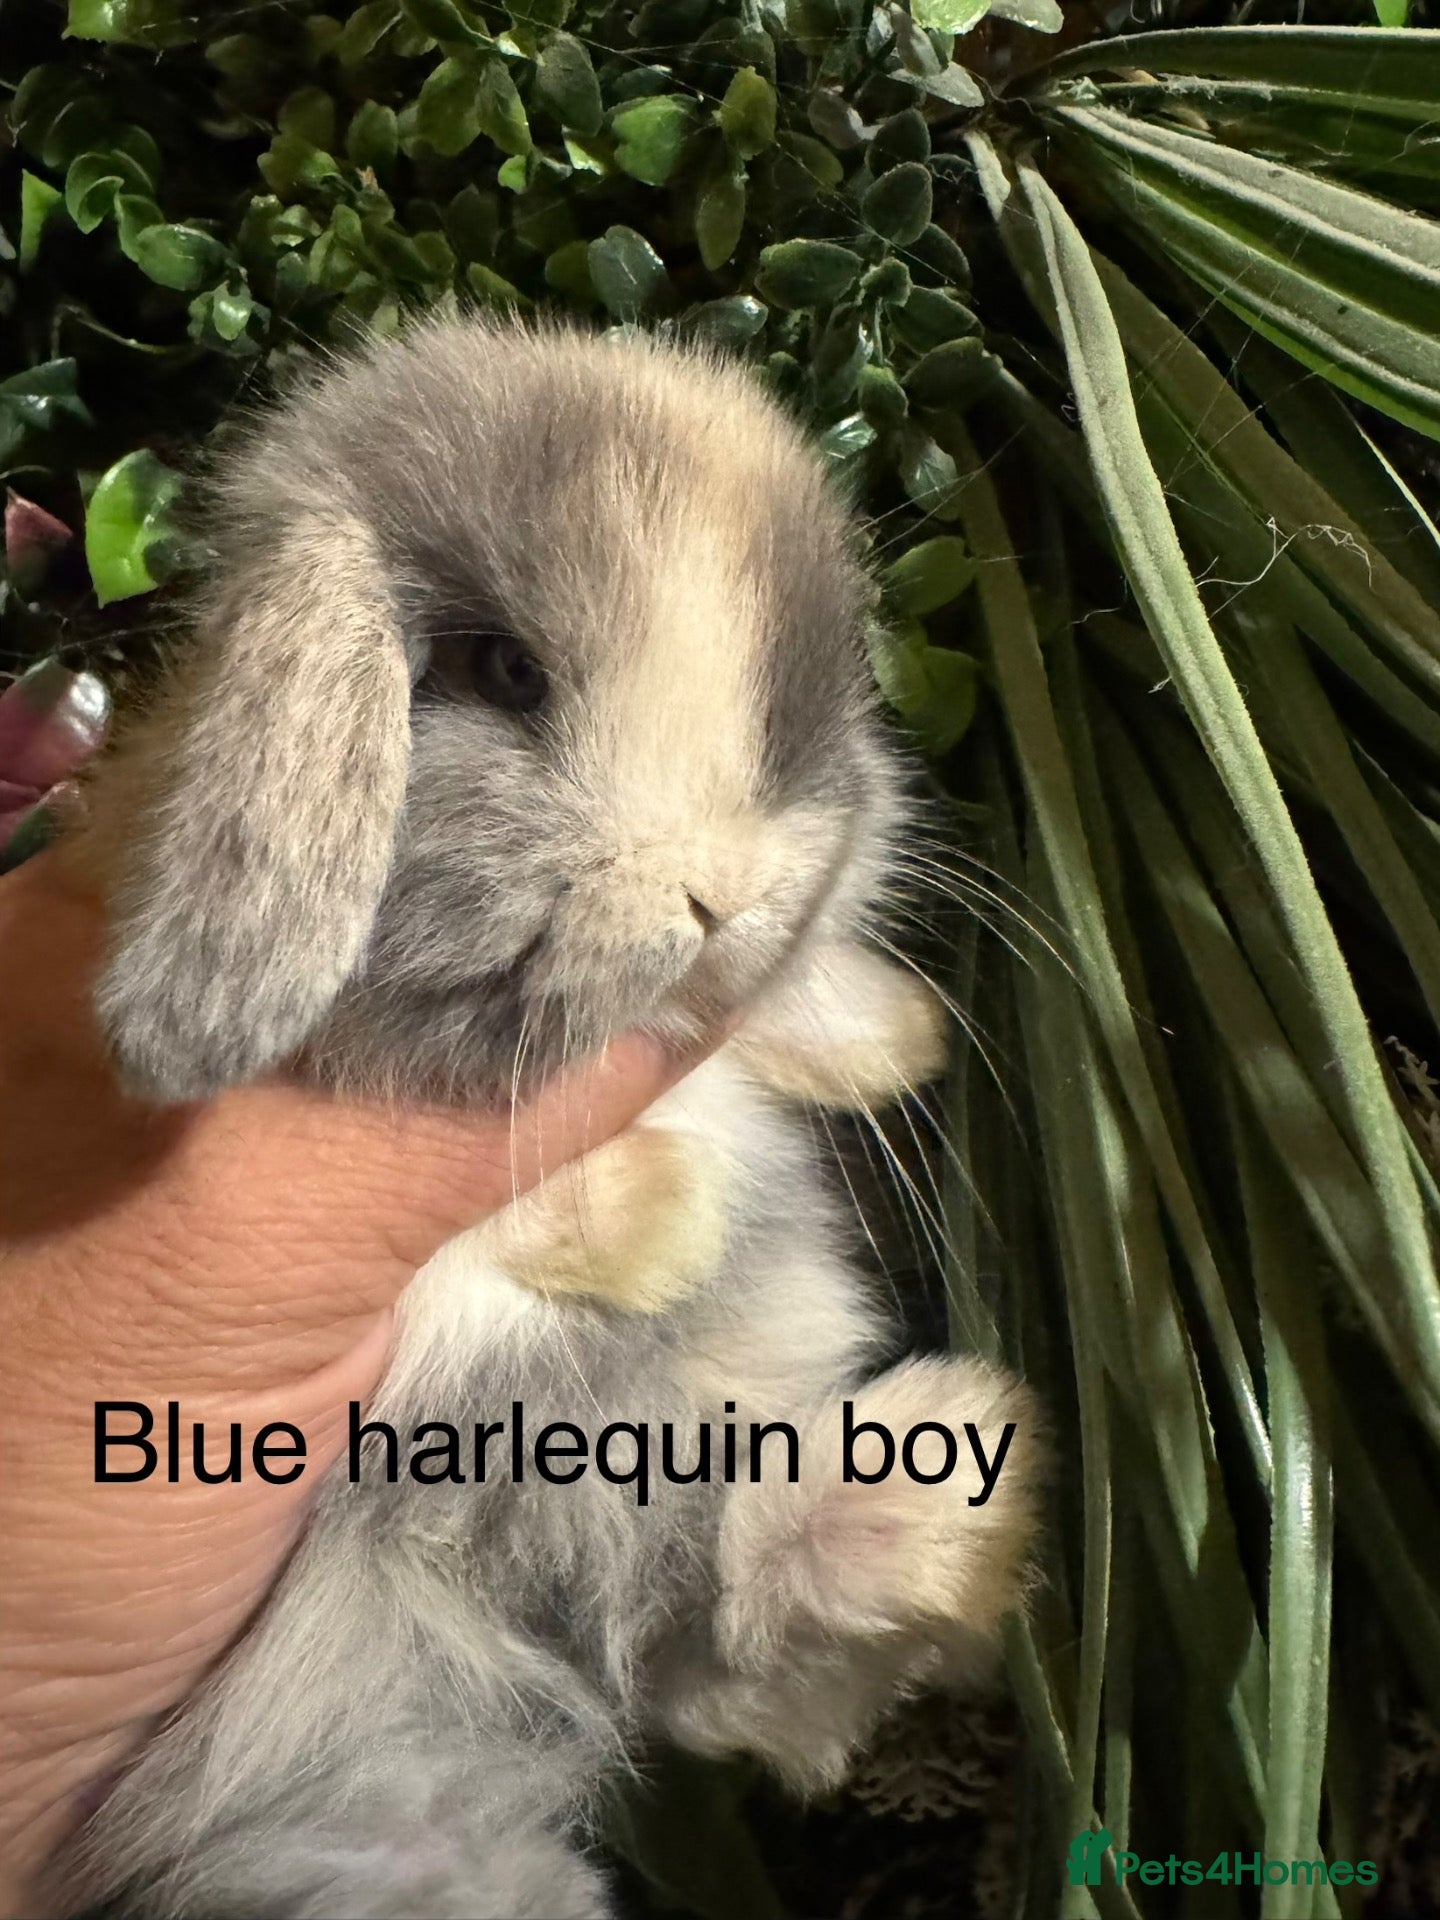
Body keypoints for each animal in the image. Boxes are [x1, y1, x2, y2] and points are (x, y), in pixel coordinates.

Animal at [58, 316, 1040, 1920]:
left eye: (811, 694)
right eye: (502, 670)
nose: (722, 893)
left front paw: (890, 1035)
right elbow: (505, 1209)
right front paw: (665, 1222)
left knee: (732, 1648)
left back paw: (943, 1491)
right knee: (714, 1654)